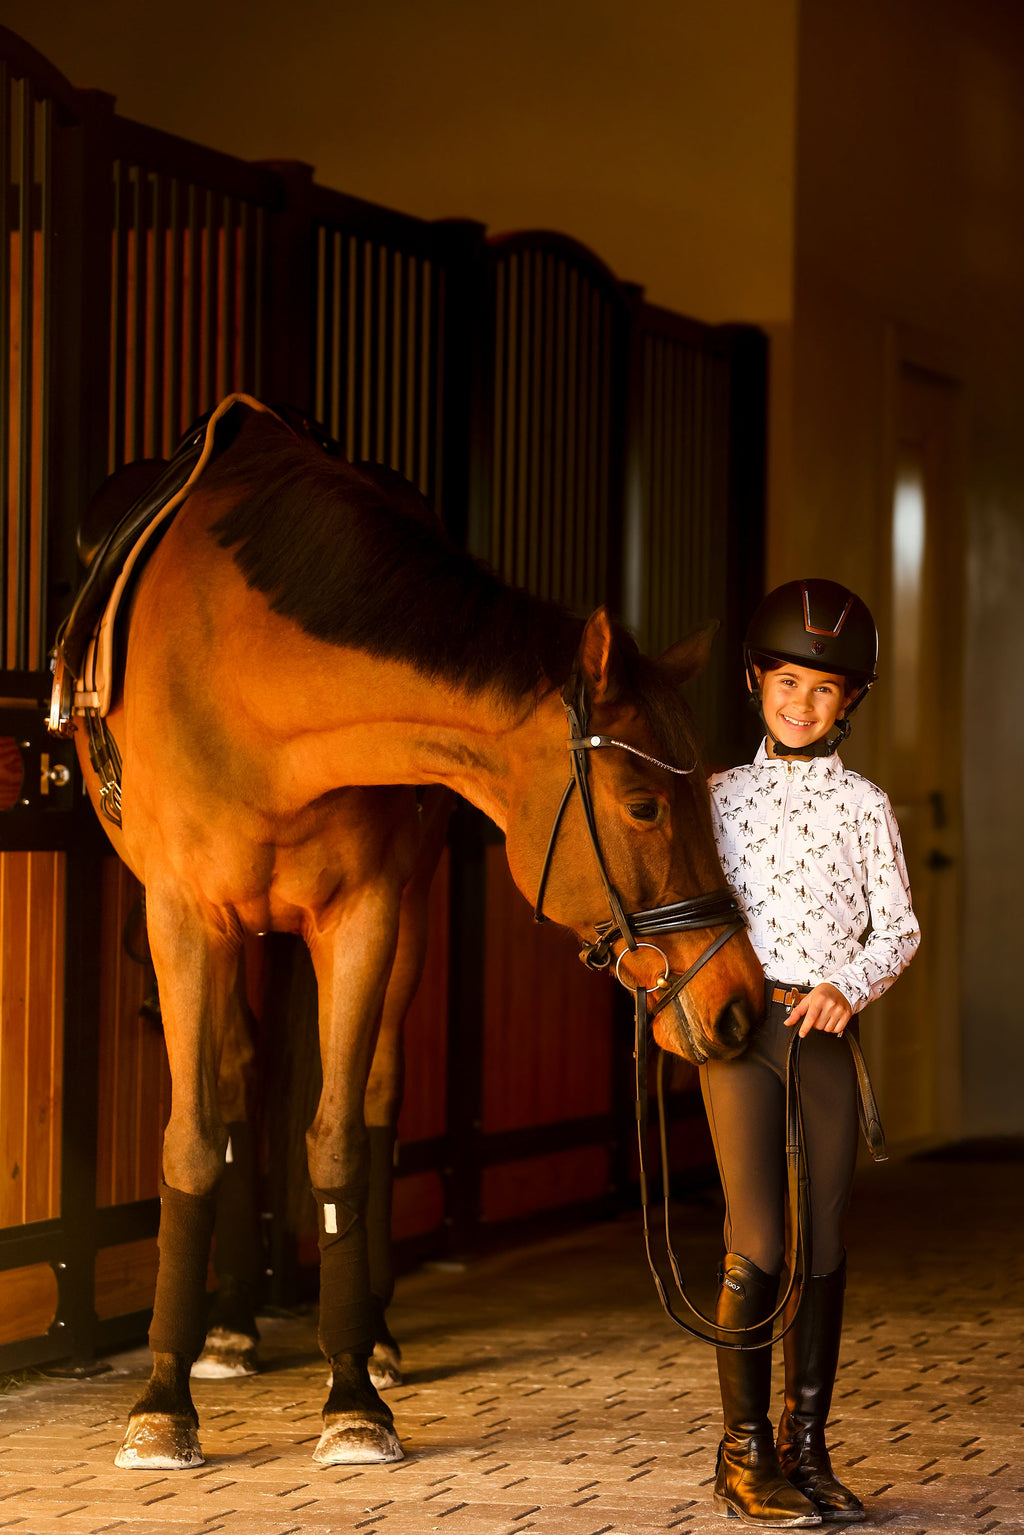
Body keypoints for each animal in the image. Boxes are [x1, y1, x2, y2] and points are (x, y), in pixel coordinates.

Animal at [63, 396, 764, 1471]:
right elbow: (191, 1138)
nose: (738, 1004)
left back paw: (374, 1335)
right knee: (237, 1081)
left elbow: (342, 1138)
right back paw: (230, 1326)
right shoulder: (181, 914)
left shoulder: (366, 914)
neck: (251, 677)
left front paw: (351, 1393)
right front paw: (161, 1398)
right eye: (645, 804)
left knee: (374, 1094)